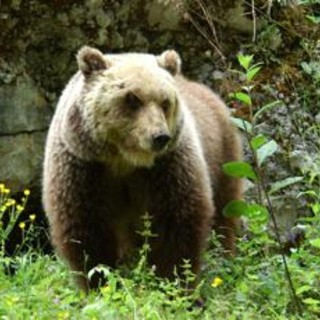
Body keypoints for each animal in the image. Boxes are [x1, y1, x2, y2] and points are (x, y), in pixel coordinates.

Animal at [42, 46, 242, 292]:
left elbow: (178, 221)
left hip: (223, 156)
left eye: (165, 102)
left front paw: (172, 284)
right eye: (132, 98)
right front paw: (100, 282)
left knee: (224, 213)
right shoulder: (83, 167)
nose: (160, 137)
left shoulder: (167, 167)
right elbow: (86, 228)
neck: (124, 160)